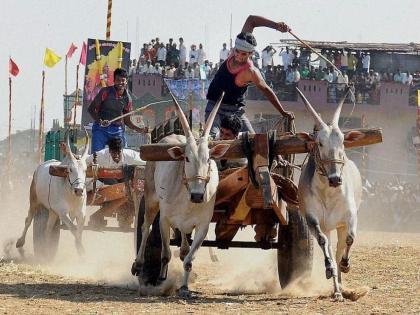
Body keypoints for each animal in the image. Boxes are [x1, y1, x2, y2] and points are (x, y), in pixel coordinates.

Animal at [131, 92, 230, 298]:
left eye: (209, 158)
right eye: (187, 158)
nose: (198, 196)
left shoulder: (202, 226)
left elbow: (189, 260)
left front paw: (184, 287)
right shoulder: (164, 220)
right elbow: (165, 254)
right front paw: (160, 279)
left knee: (184, 244)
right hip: (150, 198)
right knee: (145, 227)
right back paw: (138, 264)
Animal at [296, 88, 364, 302]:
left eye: (342, 141)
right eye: (319, 142)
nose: (335, 179)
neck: (329, 192)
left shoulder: (350, 216)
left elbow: (350, 239)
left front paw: (346, 265)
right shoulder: (313, 219)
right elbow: (322, 242)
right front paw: (329, 268)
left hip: (339, 226)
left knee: (340, 247)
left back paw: (340, 283)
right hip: (327, 227)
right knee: (330, 249)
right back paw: (336, 286)